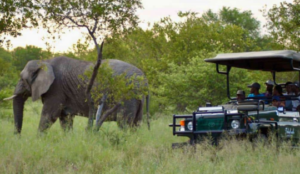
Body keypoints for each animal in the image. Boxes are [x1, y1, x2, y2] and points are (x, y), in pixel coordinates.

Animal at [5, 56, 148, 134]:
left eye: (22, 79)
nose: (18, 137)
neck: (45, 61)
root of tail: (144, 80)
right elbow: (65, 119)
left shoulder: (56, 89)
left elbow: (49, 116)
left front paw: (38, 142)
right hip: (137, 98)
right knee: (136, 124)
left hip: (128, 96)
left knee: (124, 124)